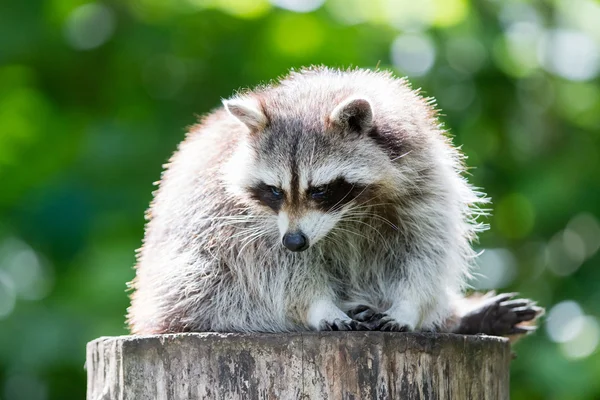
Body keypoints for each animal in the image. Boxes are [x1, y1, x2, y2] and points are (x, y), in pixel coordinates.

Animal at [127, 67, 544, 336]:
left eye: (320, 190)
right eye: (275, 190)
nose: (295, 241)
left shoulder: (425, 182)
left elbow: (424, 251)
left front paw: (409, 305)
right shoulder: (237, 217)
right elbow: (273, 269)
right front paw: (318, 304)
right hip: (183, 283)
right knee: (217, 288)